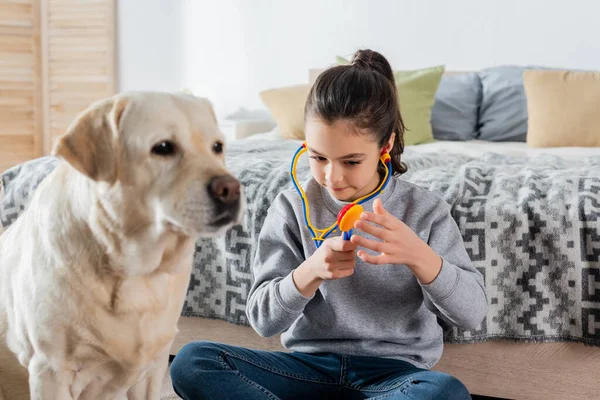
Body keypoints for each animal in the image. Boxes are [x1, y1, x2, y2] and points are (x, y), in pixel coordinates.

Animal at [1, 91, 244, 400]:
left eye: (217, 147)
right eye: (163, 147)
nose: (232, 189)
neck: (137, 274)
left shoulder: (153, 367)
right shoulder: (50, 371)